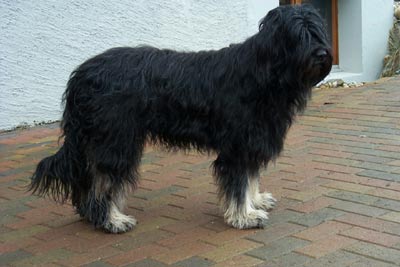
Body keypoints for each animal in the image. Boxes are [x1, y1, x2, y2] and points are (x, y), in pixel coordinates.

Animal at [30, 4, 332, 234]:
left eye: (317, 32)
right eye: (298, 35)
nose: (322, 54)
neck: (265, 71)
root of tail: (81, 73)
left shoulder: (254, 140)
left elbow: (251, 177)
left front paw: (255, 201)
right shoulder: (238, 145)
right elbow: (239, 182)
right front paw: (244, 216)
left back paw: (90, 214)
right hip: (116, 140)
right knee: (104, 180)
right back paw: (111, 220)